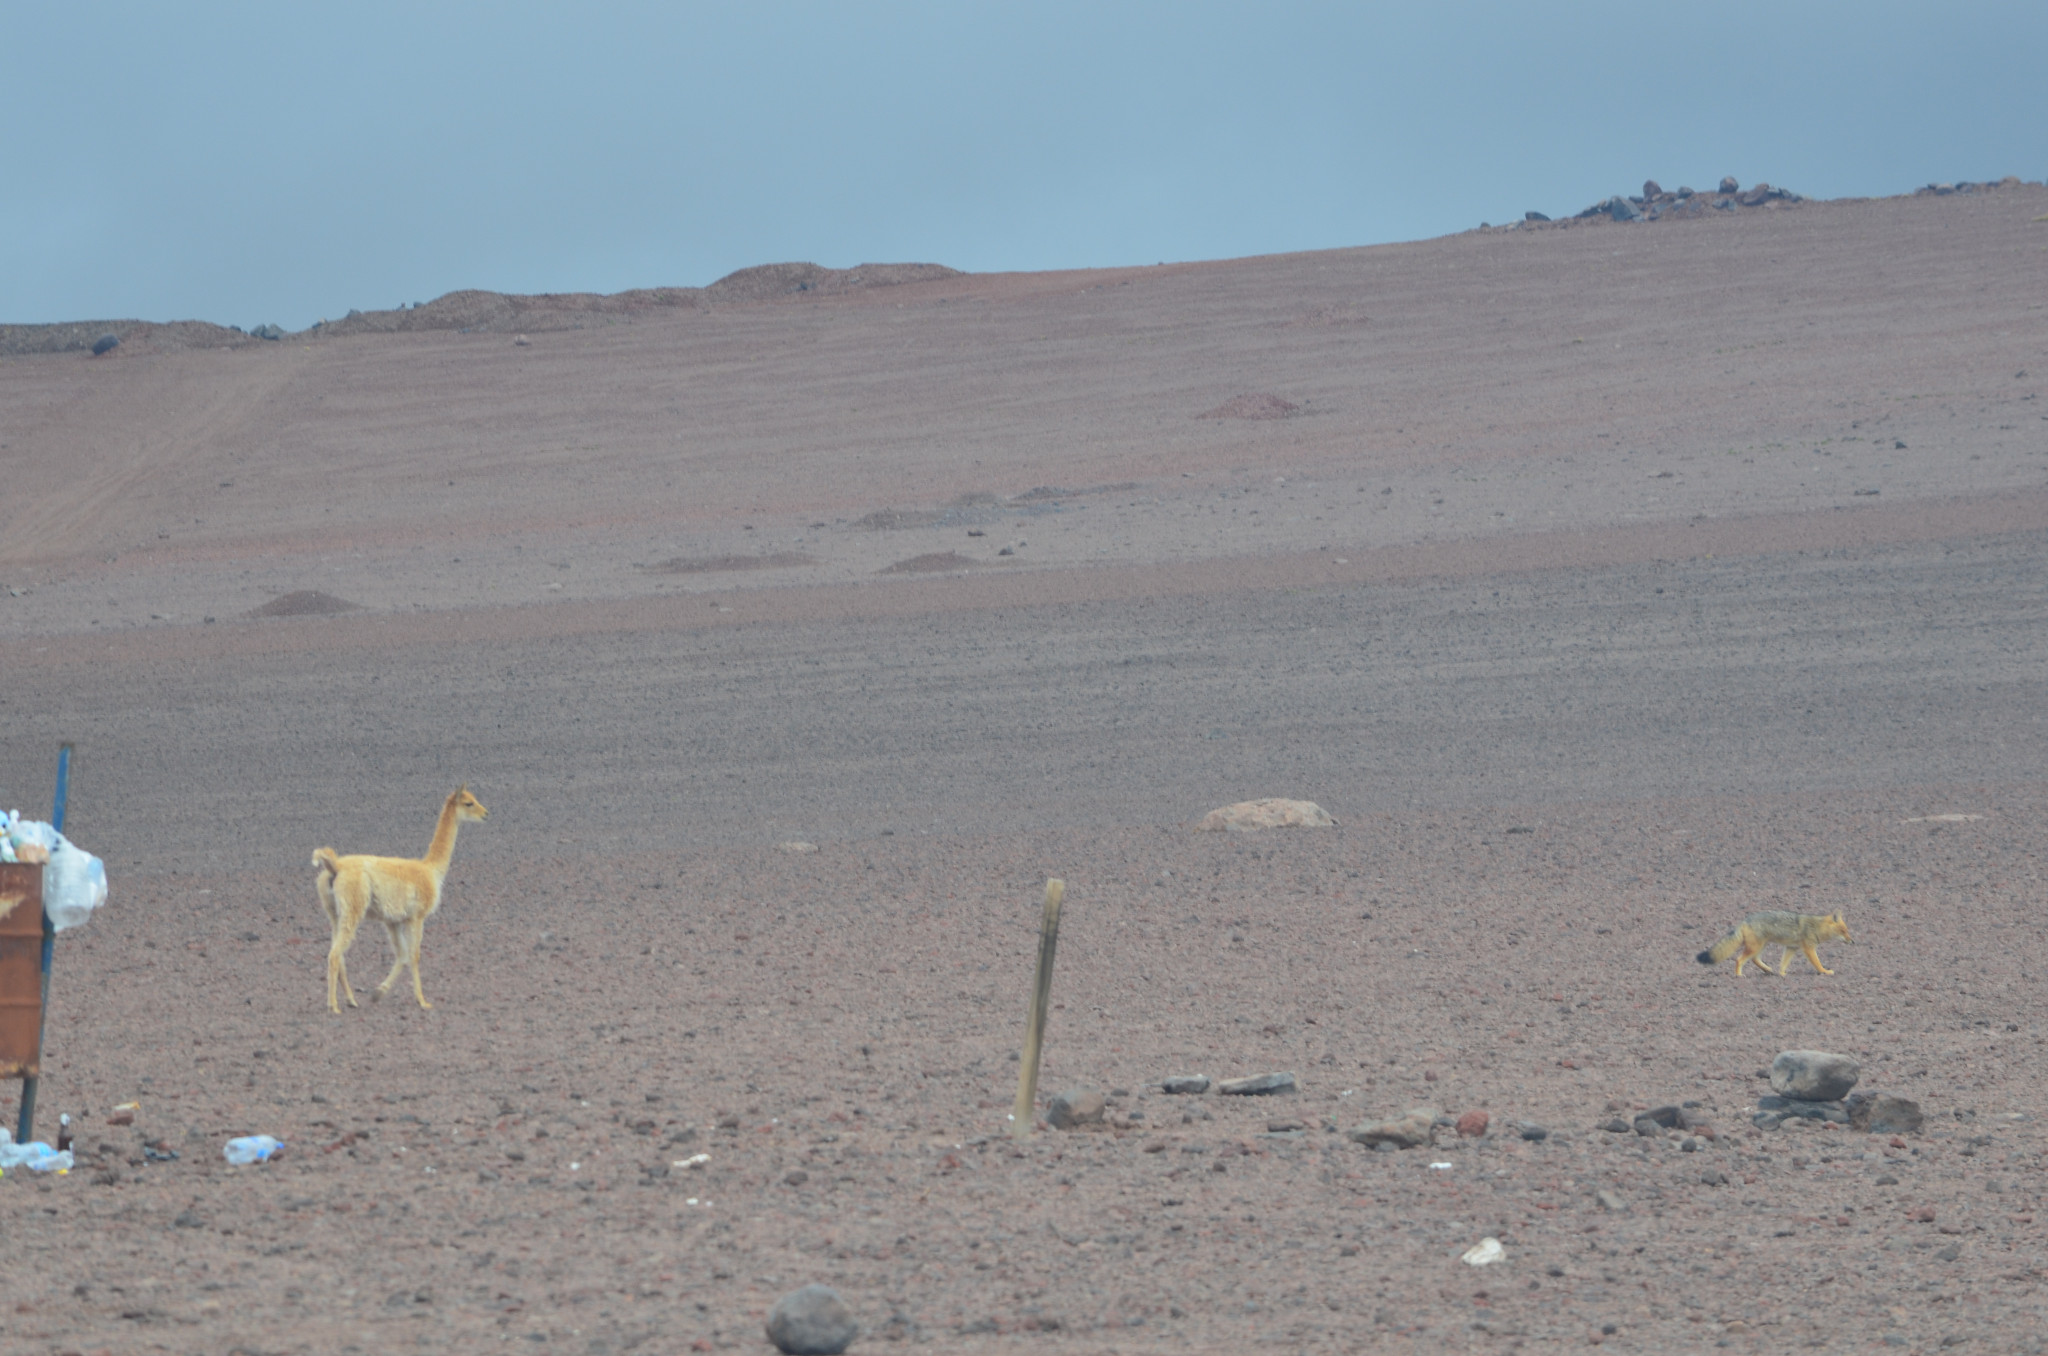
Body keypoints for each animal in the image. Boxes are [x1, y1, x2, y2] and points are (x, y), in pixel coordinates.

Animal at [1695, 913, 1859, 979]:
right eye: (1843, 931)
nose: (1853, 941)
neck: (1817, 926)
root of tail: (1745, 920)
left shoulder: (1791, 948)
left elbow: (1783, 963)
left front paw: (1782, 973)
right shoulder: (1809, 948)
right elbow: (1817, 963)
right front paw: (1825, 971)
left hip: (1761, 946)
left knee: (1754, 959)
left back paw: (1768, 970)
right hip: (1756, 947)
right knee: (1739, 959)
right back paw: (1739, 975)